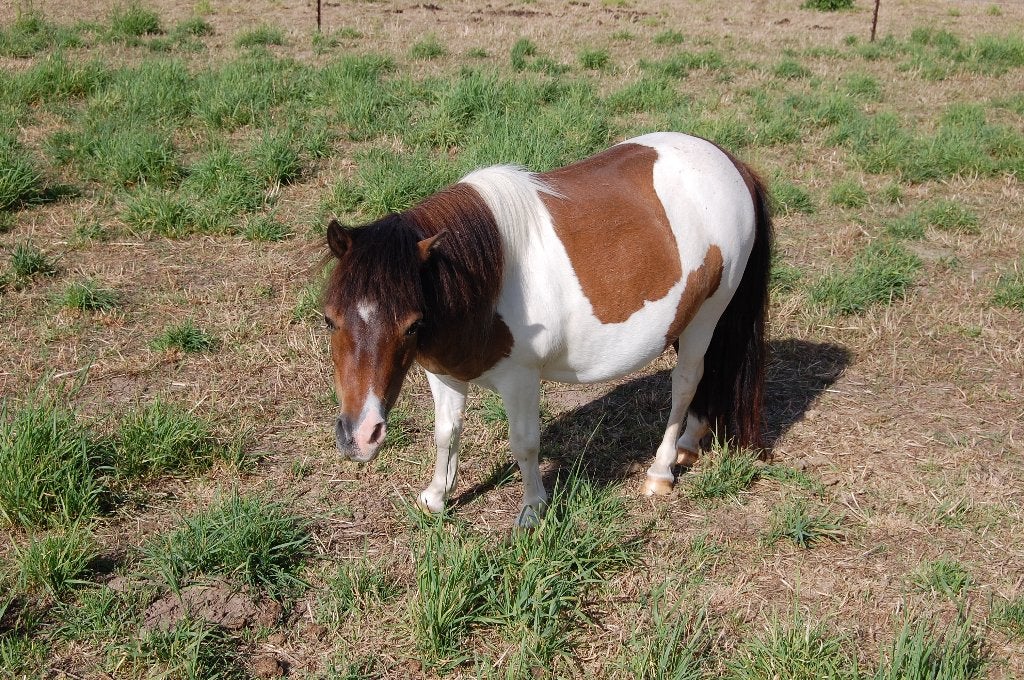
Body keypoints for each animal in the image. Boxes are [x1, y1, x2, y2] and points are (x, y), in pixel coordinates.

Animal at [321, 132, 772, 527]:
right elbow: (446, 433)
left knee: (687, 382)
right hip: (687, 317)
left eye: (412, 325)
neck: (486, 280)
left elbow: (524, 443)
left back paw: (660, 471)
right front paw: (436, 498)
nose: (359, 437)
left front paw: (533, 510)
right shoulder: (444, 373)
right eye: (329, 319)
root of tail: (732, 164)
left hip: (707, 315)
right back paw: (688, 443)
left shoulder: (520, 379)